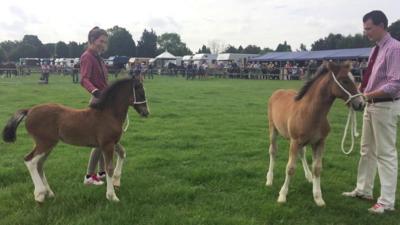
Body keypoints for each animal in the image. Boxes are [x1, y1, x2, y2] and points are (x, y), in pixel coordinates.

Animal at [1, 76, 148, 203]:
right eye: (141, 92)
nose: (146, 113)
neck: (108, 114)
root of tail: (29, 110)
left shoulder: (110, 143)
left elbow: (122, 153)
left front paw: (117, 181)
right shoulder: (107, 144)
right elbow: (109, 168)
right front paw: (112, 196)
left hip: (48, 144)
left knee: (39, 164)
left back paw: (49, 193)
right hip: (44, 143)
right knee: (30, 161)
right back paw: (40, 194)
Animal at [266, 61, 366, 206]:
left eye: (354, 79)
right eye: (344, 80)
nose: (361, 104)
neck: (311, 112)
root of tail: (278, 92)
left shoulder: (319, 142)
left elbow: (317, 168)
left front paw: (318, 197)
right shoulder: (295, 141)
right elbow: (290, 168)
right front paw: (282, 195)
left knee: (302, 154)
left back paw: (308, 176)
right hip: (274, 130)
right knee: (273, 151)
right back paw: (269, 179)